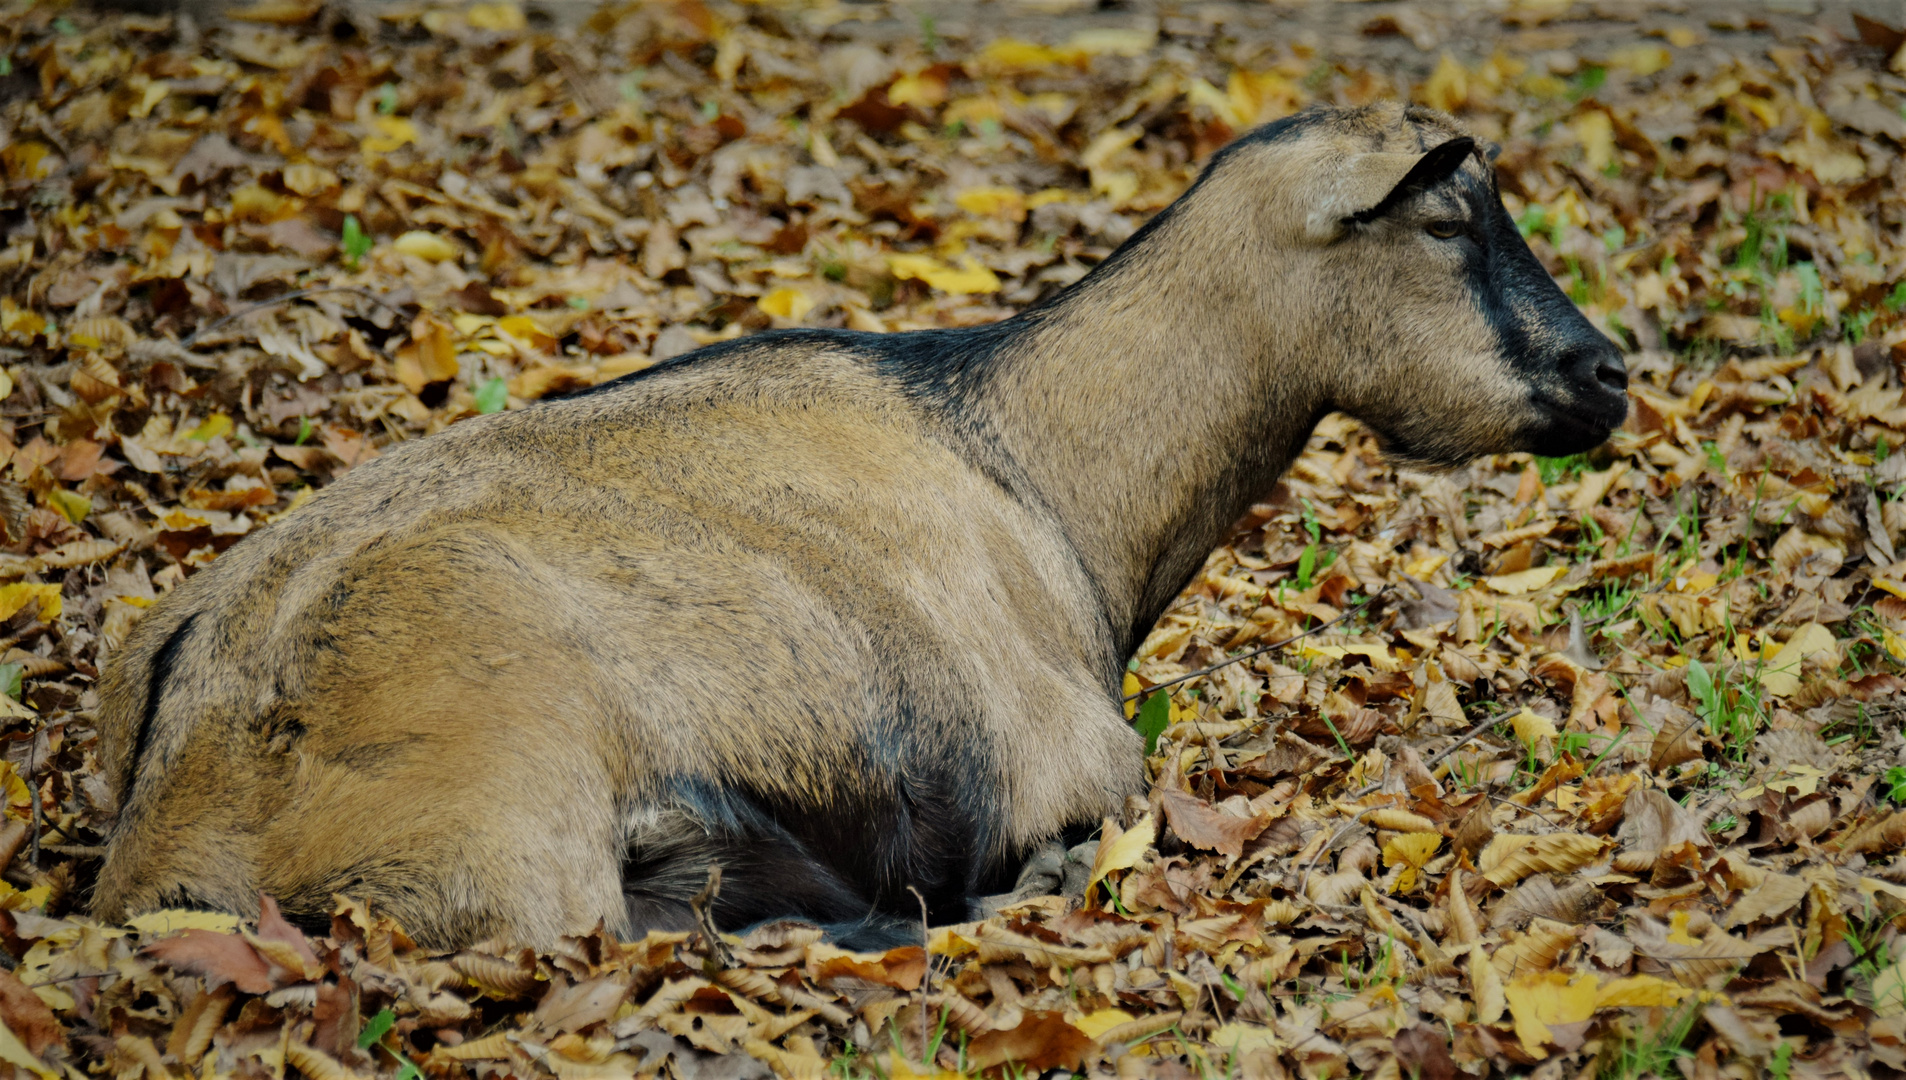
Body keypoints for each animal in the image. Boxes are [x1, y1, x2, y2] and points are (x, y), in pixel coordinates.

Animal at [96, 101, 1623, 944]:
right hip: (513, 829)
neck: (1023, 464)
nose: (1607, 373)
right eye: (1446, 224)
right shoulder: (1074, 760)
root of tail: (194, 783)